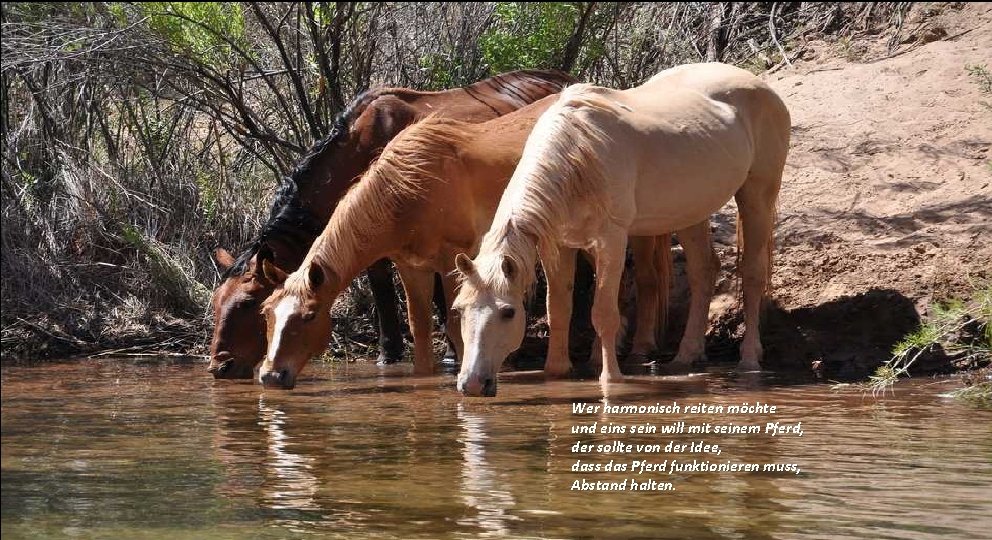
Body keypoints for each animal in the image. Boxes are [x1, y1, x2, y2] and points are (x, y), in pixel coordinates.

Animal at [206, 69, 572, 378]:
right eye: (216, 302)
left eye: (250, 305)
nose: (220, 367)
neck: (361, 145)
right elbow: (383, 289)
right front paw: (388, 353)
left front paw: (451, 354)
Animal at [452, 63, 792, 396]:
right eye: (460, 310)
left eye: (508, 312)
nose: (472, 384)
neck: (577, 155)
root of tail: (759, 84)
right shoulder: (560, 246)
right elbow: (558, 309)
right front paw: (556, 374)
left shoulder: (611, 240)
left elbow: (604, 313)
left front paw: (610, 378)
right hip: (692, 211)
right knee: (703, 272)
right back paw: (685, 357)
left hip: (757, 194)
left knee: (752, 274)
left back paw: (748, 360)